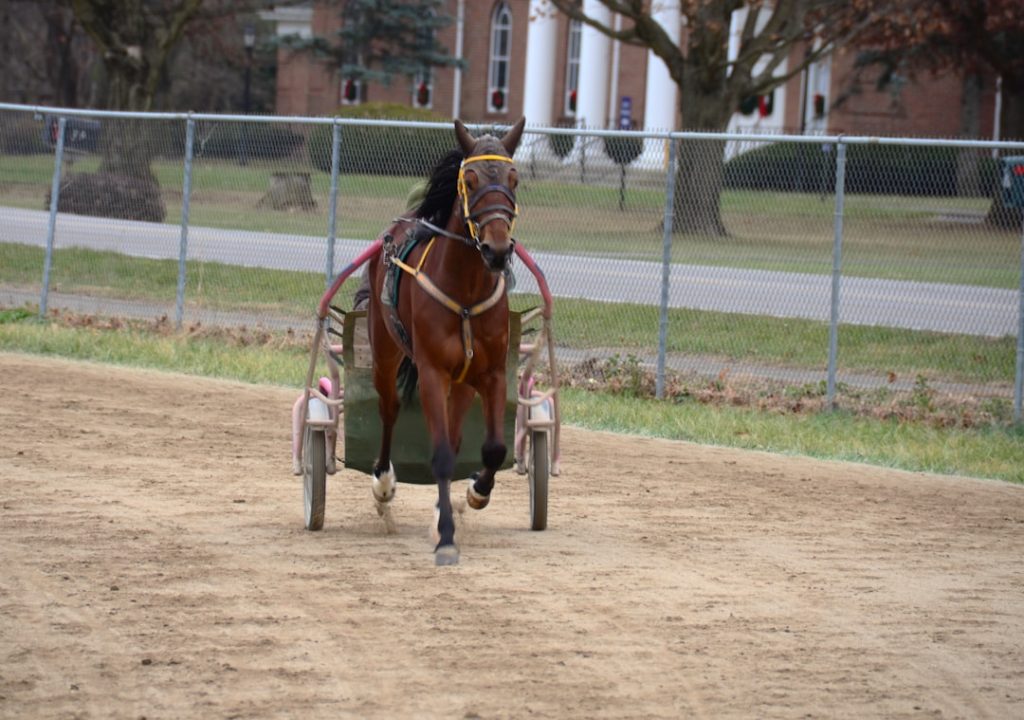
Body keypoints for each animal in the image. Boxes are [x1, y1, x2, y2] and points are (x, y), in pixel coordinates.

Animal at [366, 117, 526, 565]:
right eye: (470, 181)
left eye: (514, 179)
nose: (497, 249)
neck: (466, 293)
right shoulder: (433, 371)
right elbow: (439, 454)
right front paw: (447, 538)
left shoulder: (490, 373)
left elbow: (492, 448)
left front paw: (474, 492)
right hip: (386, 353)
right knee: (389, 410)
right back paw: (383, 484)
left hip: (463, 381)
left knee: (454, 434)